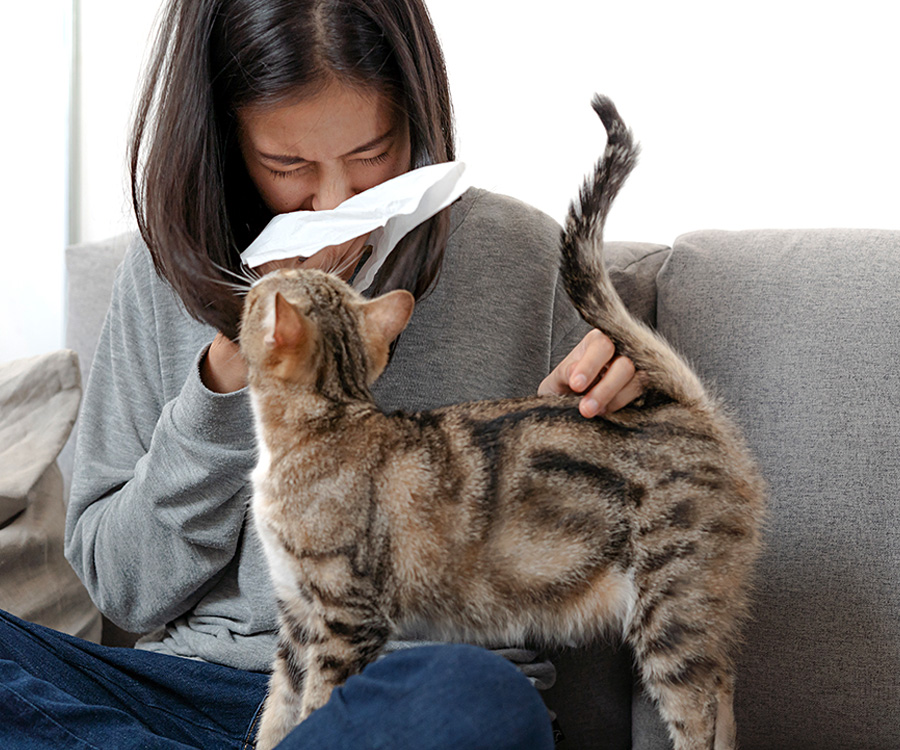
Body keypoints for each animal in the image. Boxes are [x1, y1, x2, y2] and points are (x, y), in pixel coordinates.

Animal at [241, 97, 768, 750]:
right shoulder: (295, 616)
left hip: (673, 608)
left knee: (701, 714)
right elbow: (277, 712)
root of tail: (687, 406)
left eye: (258, 296)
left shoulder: (344, 616)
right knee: (726, 696)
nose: (254, 274)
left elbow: (314, 708)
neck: (321, 427)